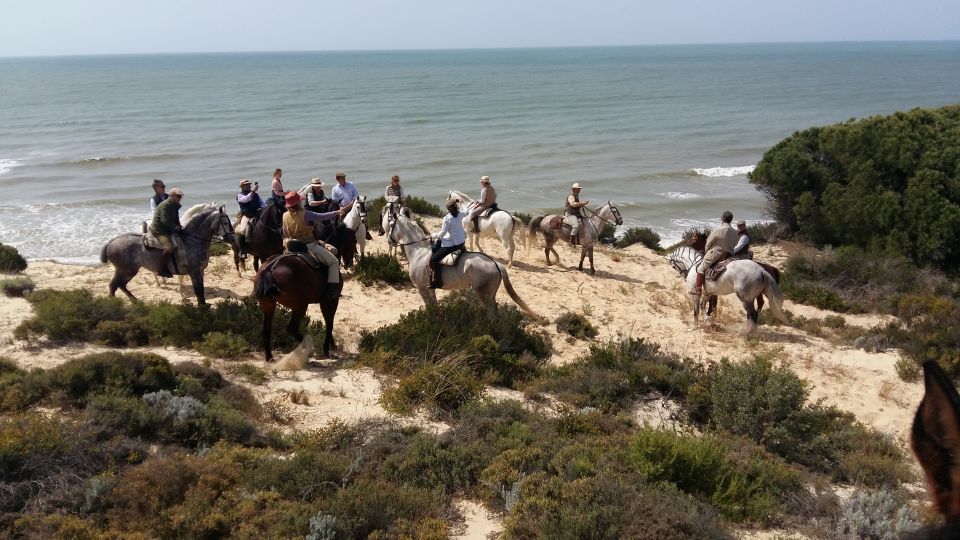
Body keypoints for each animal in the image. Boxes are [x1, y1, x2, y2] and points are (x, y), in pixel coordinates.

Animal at [101, 204, 238, 306]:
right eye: (225, 223)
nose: (232, 238)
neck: (192, 240)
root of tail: (110, 242)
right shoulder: (194, 272)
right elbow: (198, 291)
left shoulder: (199, 272)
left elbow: (199, 290)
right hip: (126, 271)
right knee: (114, 285)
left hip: (126, 271)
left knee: (120, 285)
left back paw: (134, 300)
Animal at [253, 224, 358, 362]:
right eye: (354, 241)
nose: (349, 263)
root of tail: (270, 269)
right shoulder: (330, 301)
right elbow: (329, 323)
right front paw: (327, 349)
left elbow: (328, 322)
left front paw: (332, 345)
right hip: (300, 306)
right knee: (292, 328)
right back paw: (310, 349)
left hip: (268, 306)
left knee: (266, 330)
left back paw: (269, 357)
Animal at [390, 208, 540, 316]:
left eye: (391, 225)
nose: (390, 241)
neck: (419, 253)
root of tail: (496, 264)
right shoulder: (429, 289)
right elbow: (435, 306)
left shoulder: (422, 289)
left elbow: (430, 308)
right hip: (491, 294)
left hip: (482, 294)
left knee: (491, 314)